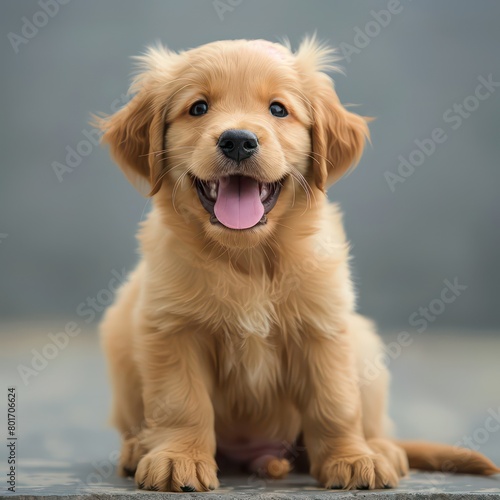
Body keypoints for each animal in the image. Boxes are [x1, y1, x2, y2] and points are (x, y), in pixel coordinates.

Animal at [94, 37, 500, 490]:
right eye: (198, 107)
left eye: (278, 109)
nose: (238, 140)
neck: (249, 259)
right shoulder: (171, 328)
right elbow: (182, 402)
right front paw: (177, 458)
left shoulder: (323, 328)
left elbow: (335, 403)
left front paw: (351, 458)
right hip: (119, 332)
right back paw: (137, 449)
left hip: (364, 344)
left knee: (375, 423)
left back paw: (382, 449)